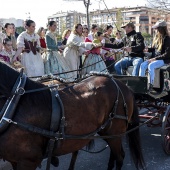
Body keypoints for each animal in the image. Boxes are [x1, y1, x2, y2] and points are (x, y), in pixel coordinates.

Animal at [0, 61, 145, 170]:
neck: (16, 103)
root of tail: (124, 86)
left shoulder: (29, 160)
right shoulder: (14, 160)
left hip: (115, 131)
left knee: (120, 157)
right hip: (108, 133)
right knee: (115, 155)